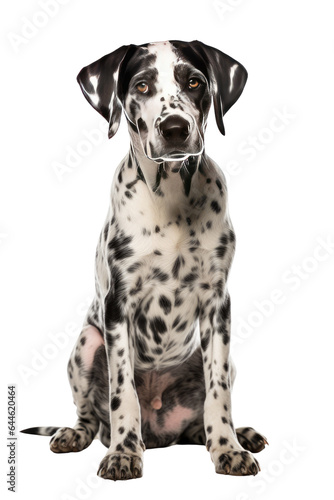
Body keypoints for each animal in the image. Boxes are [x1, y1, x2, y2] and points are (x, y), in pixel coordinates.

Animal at [22, 40, 268, 480]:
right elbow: (123, 391)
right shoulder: (118, 306)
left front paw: (227, 448)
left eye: (194, 81)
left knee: (201, 416)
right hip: (86, 344)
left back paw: (237, 434)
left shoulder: (218, 305)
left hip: (219, 358)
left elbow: (218, 394)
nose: (175, 129)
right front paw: (123, 453)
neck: (171, 201)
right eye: (141, 85)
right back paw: (78, 435)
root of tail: (160, 433)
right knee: (91, 417)